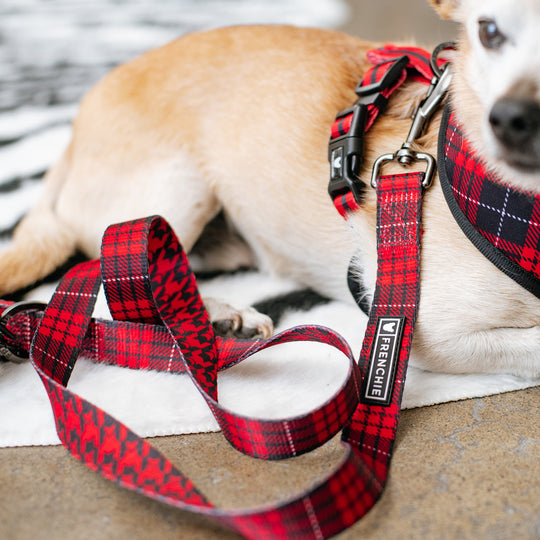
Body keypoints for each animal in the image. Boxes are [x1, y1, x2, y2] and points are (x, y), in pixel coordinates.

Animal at [1, 0, 540, 378]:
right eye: (489, 32)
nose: (515, 119)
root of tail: (74, 131)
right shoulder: (429, 328)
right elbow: (534, 346)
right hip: (178, 191)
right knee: (110, 282)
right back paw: (215, 317)